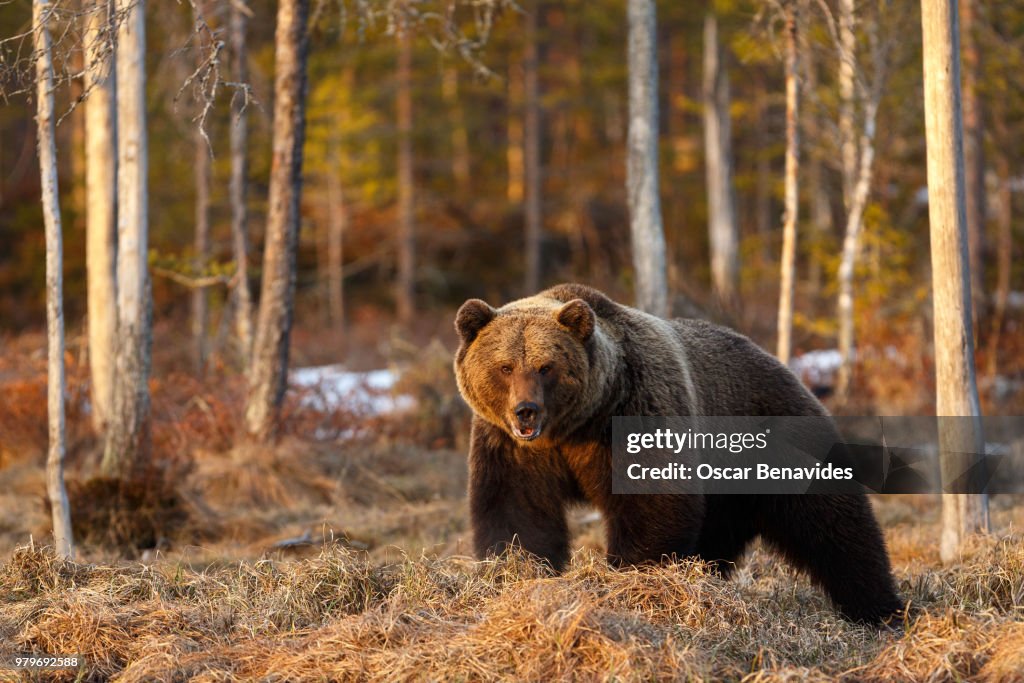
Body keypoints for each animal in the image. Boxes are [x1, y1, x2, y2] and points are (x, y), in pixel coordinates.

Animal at [456, 282, 905, 626]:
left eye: (546, 366)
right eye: (505, 366)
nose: (526, 410)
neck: (575, 425)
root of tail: (784, 366)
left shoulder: (635, 411)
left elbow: (652, 503)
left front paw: (630, 579)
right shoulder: (513, 447)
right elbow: (517, 511)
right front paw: (517, 572)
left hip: (777, 438)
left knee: (833, 524)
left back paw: (879, 608)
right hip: (727, 489)